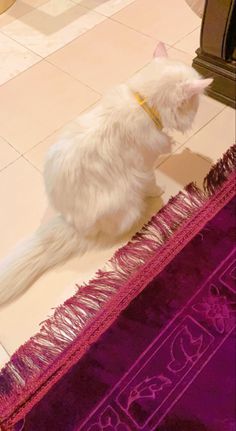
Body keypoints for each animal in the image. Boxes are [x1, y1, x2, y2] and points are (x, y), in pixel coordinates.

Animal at [0, 43, 212, 304]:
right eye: (196, 103)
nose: (198, 111)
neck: (145, 104)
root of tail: (71, 222)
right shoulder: (144, 167)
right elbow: (152, 182)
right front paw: (158, 192)